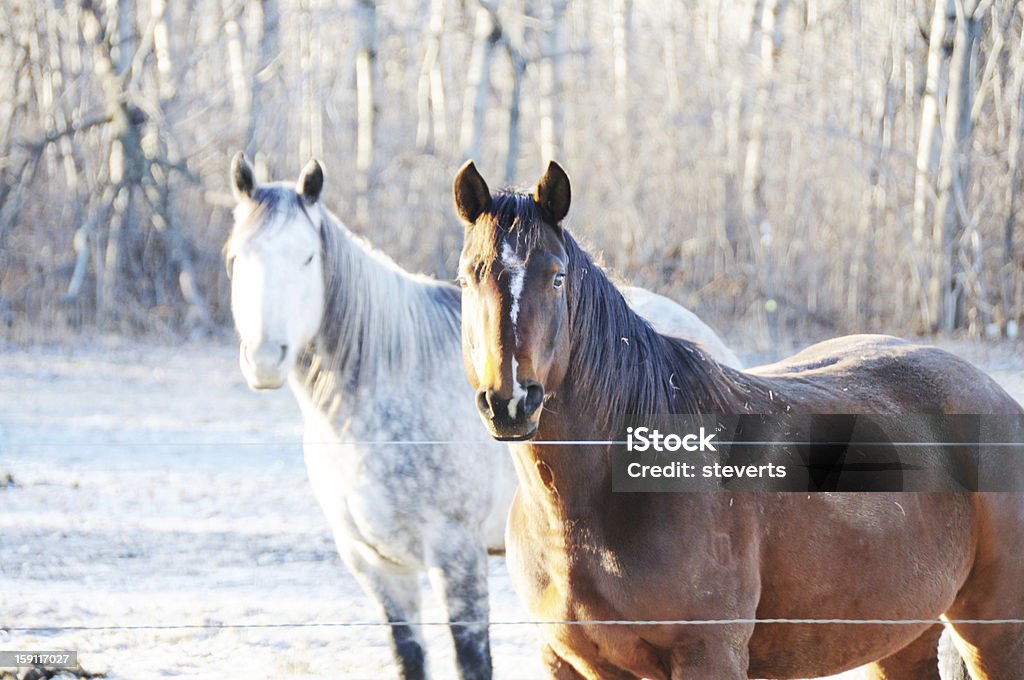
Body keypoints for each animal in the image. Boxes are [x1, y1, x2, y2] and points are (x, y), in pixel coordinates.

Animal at [450, 160, 1024, 680]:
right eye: (466, 278)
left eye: (557, 277)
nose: (511, 401)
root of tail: (995, 395)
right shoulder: (563, 660)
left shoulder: (709, 654)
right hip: (902, 636)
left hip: (994, 632)